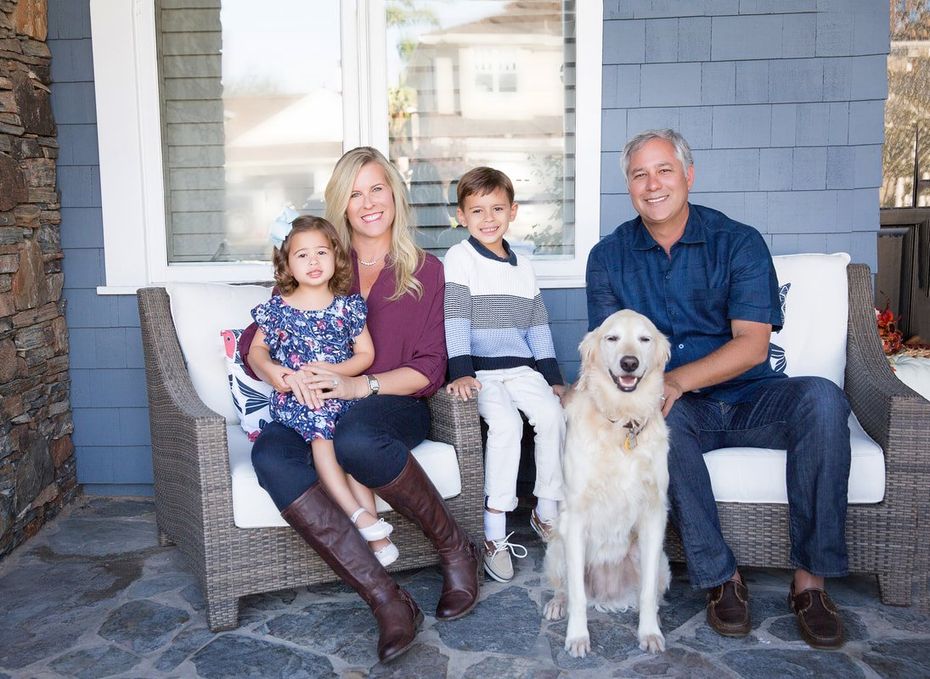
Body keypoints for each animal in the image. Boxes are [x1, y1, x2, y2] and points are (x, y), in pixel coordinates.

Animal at [540, 310, 672, 656]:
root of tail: (609, 596)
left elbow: (648, 592)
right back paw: (557, 605)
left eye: (644, 339)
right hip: (556, 545)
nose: (629, 363)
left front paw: (649, 633)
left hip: (659, 560)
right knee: (566, 589)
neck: (623, 422)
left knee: (650, 592)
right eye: (612, 338)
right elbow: (577, 594)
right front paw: (577, 637)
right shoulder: (574, 518)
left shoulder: (654, 514)